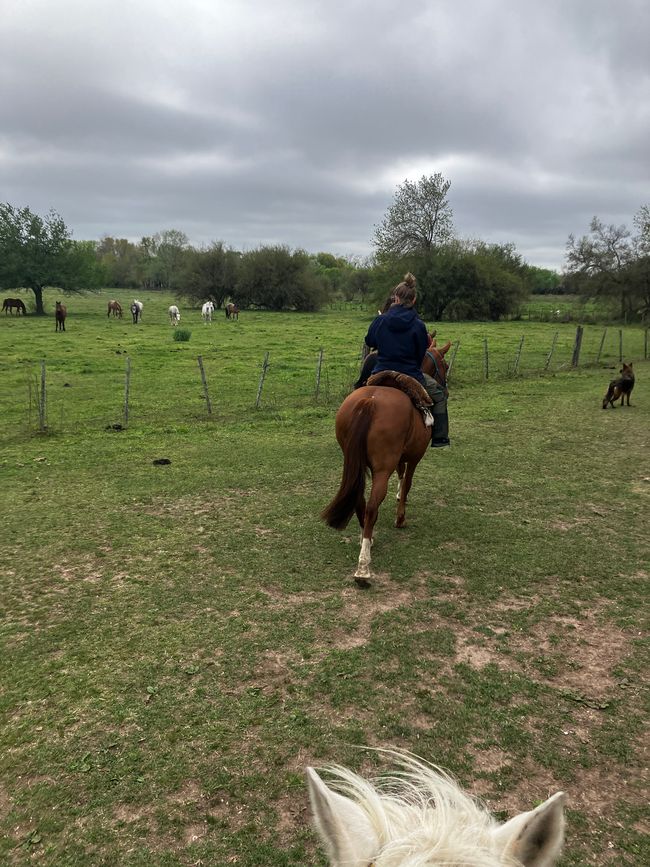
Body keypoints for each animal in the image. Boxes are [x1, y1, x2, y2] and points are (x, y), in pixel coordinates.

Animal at [320, 384, 430, 588]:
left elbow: (401, 473)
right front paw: (400, 518)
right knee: (371, 506)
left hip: (354, 461)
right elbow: (407, 482)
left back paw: (367, 538)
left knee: (359, 500)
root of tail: (370, 400)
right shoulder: (415, 457)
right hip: (382, 468)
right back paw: (363, 568)